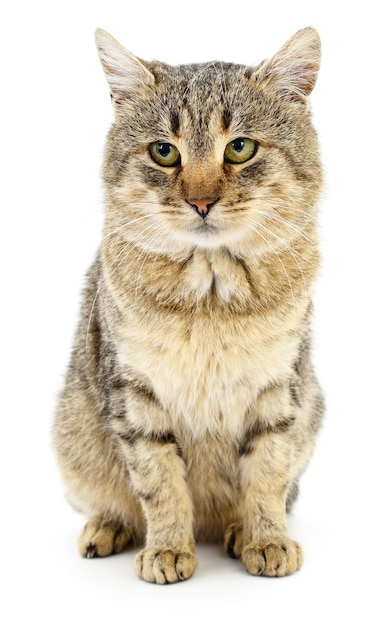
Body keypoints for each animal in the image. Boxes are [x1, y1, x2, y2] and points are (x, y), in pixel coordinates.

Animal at [53, 24, 326, 580]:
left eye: (240, 148)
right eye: (164, 151)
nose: (201, 201)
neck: (211, 293)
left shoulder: (280, 391)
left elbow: (268, 474)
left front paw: (266, 538)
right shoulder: (135, 394)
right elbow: (158, 483)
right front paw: (167, 549)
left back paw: (237, 531)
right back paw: (108, 526)